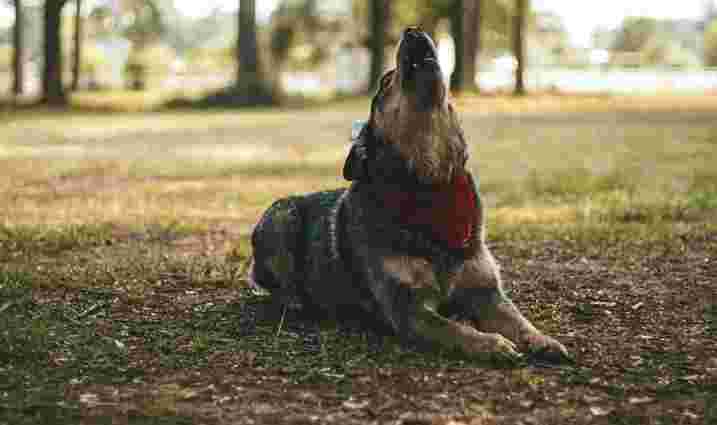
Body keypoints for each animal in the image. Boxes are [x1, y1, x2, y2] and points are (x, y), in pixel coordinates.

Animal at [249, 27, 568, 362]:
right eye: (386, 80)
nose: (412, 30)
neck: (430, 182)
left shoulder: (486, 291)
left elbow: (518, 319)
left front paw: (542, 339)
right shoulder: (406, 307)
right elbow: (455, 329)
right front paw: (491, 344)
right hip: (281, 218)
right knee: (279, 286)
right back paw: (298, 299)